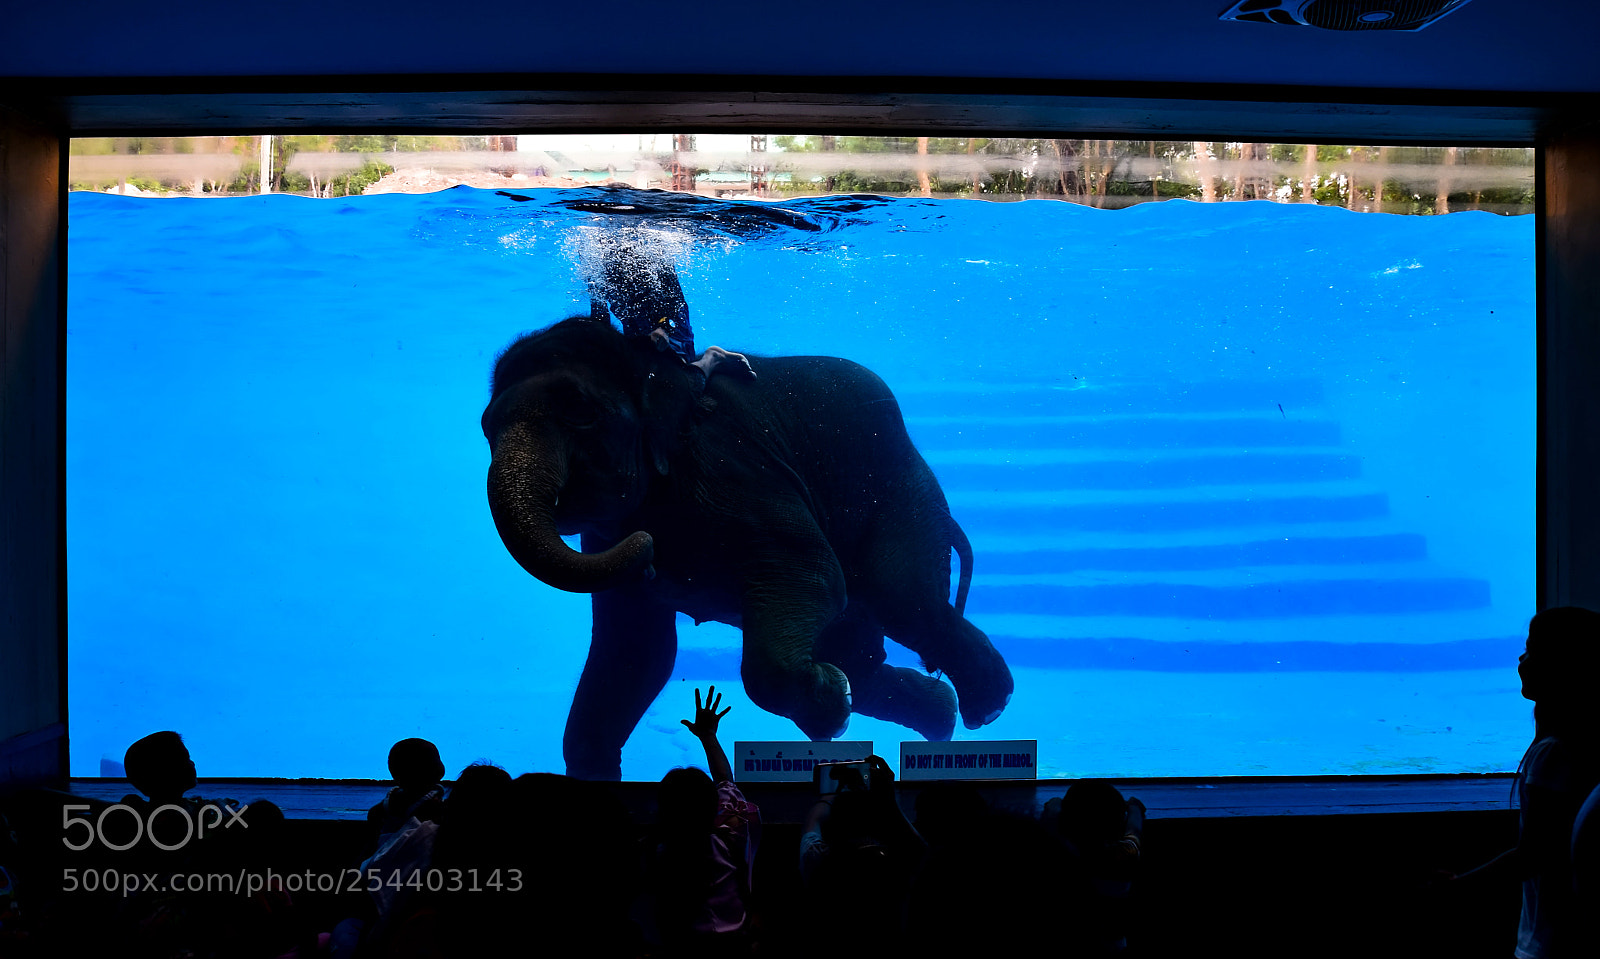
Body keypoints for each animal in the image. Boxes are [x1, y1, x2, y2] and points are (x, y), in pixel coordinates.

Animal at [482, 316, 1013, 780]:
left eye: (580, 412)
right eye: (487, 428)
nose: (647, 551)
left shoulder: (731, 467)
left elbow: (814, 573)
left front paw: (830, 710)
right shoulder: (607, 540)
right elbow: (636, 651)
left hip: (903, 496)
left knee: (906, 604)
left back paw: (987, 705)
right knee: (864, 655)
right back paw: (941, 714)